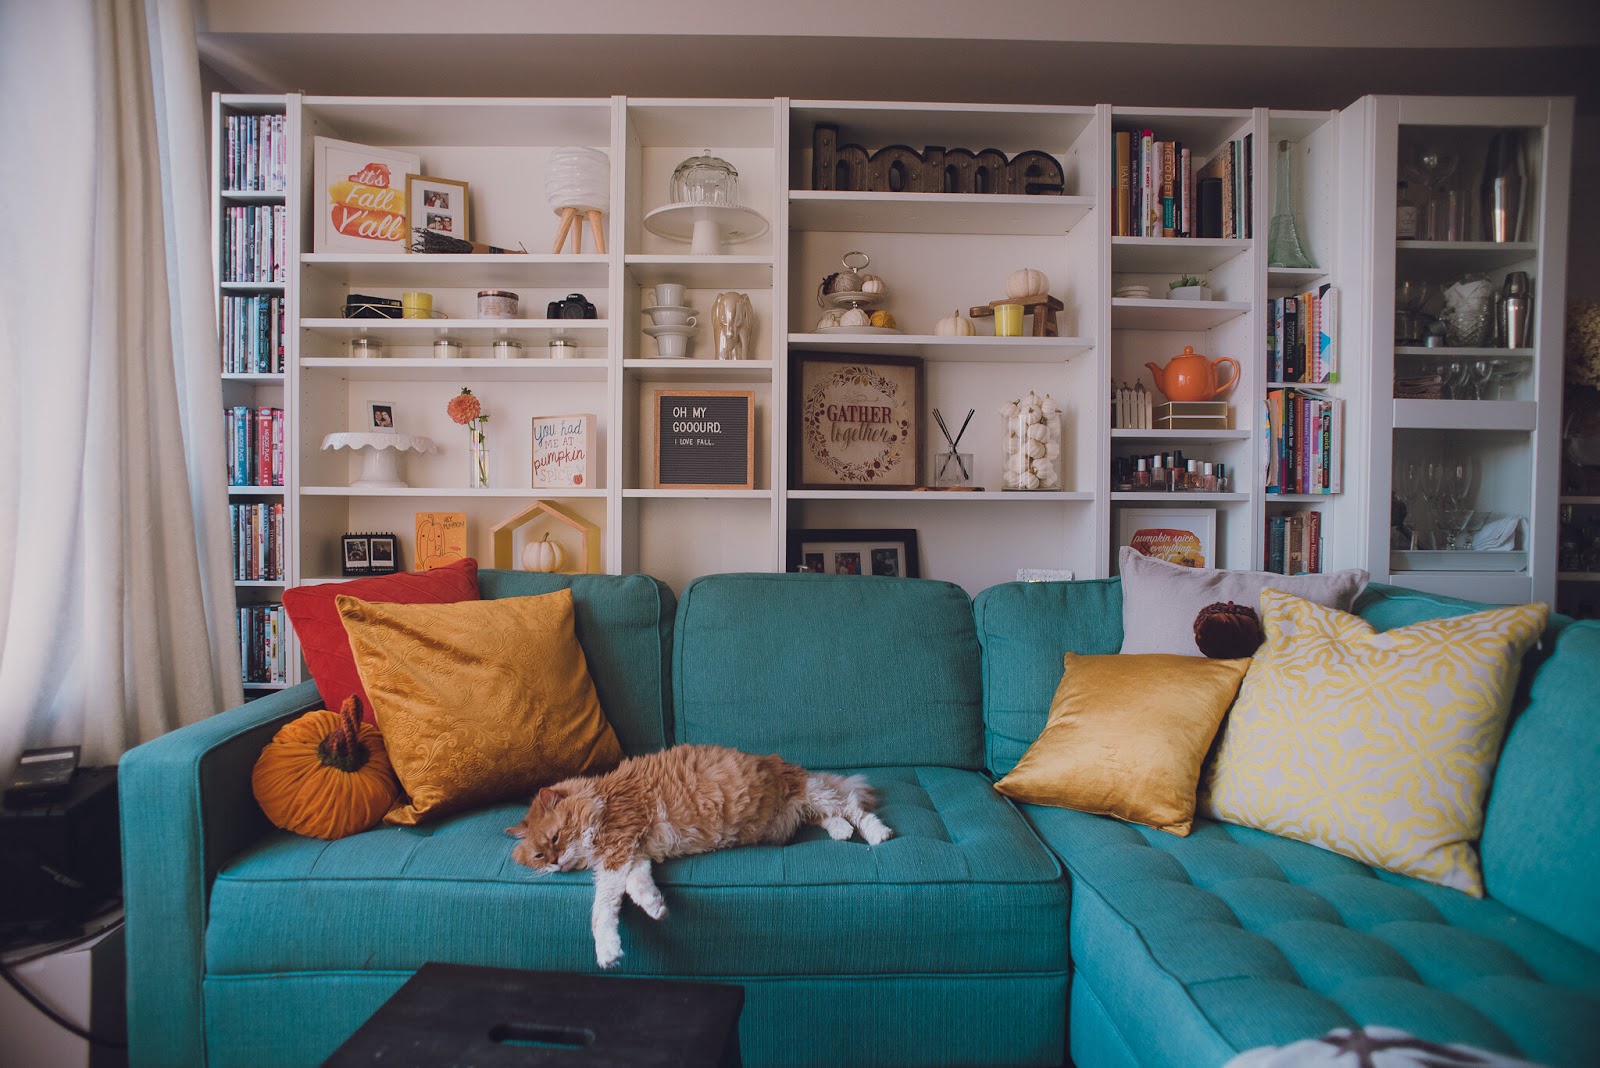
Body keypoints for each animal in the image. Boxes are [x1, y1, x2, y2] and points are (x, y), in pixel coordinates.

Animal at [508, 741, 896, 965]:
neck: (602, 796)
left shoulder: (618, 849)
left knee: (853, 807)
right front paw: (656, 908)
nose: (555, 863)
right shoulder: (633, 855)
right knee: (828, 816)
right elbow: (638, 889)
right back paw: (841, 832)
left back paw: (878, 835)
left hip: (811, 792)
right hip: (798, 809)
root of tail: (787, 765)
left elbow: (601, 910)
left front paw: (608, 954)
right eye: (539, 856)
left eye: (556, 837)